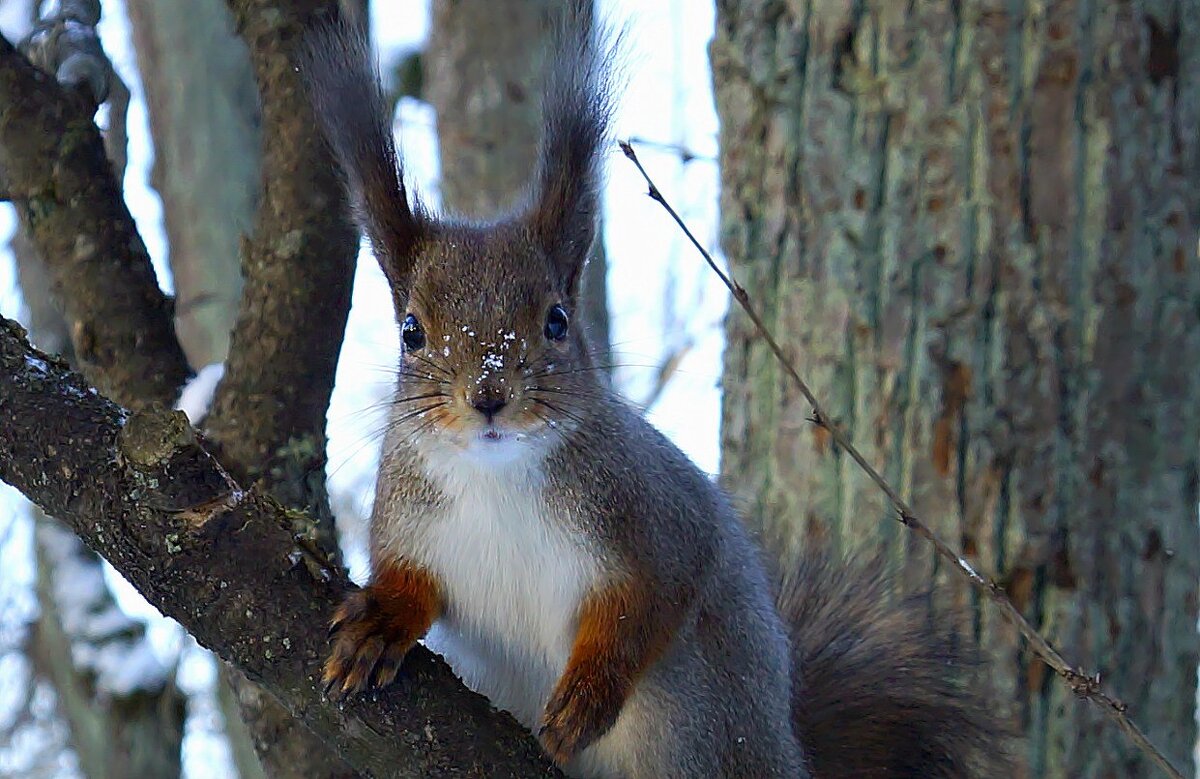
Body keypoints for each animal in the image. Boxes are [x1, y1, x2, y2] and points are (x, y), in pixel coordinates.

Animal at [300, 7, 1003, 777]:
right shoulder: (407, 523)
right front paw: (381, 621)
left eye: (557, 320)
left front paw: (587, 695)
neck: (498, 474)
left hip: (697, 716)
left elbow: (649, 603)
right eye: (411, 332)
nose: (488, 394)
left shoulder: (656, 516)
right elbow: (410, 582)